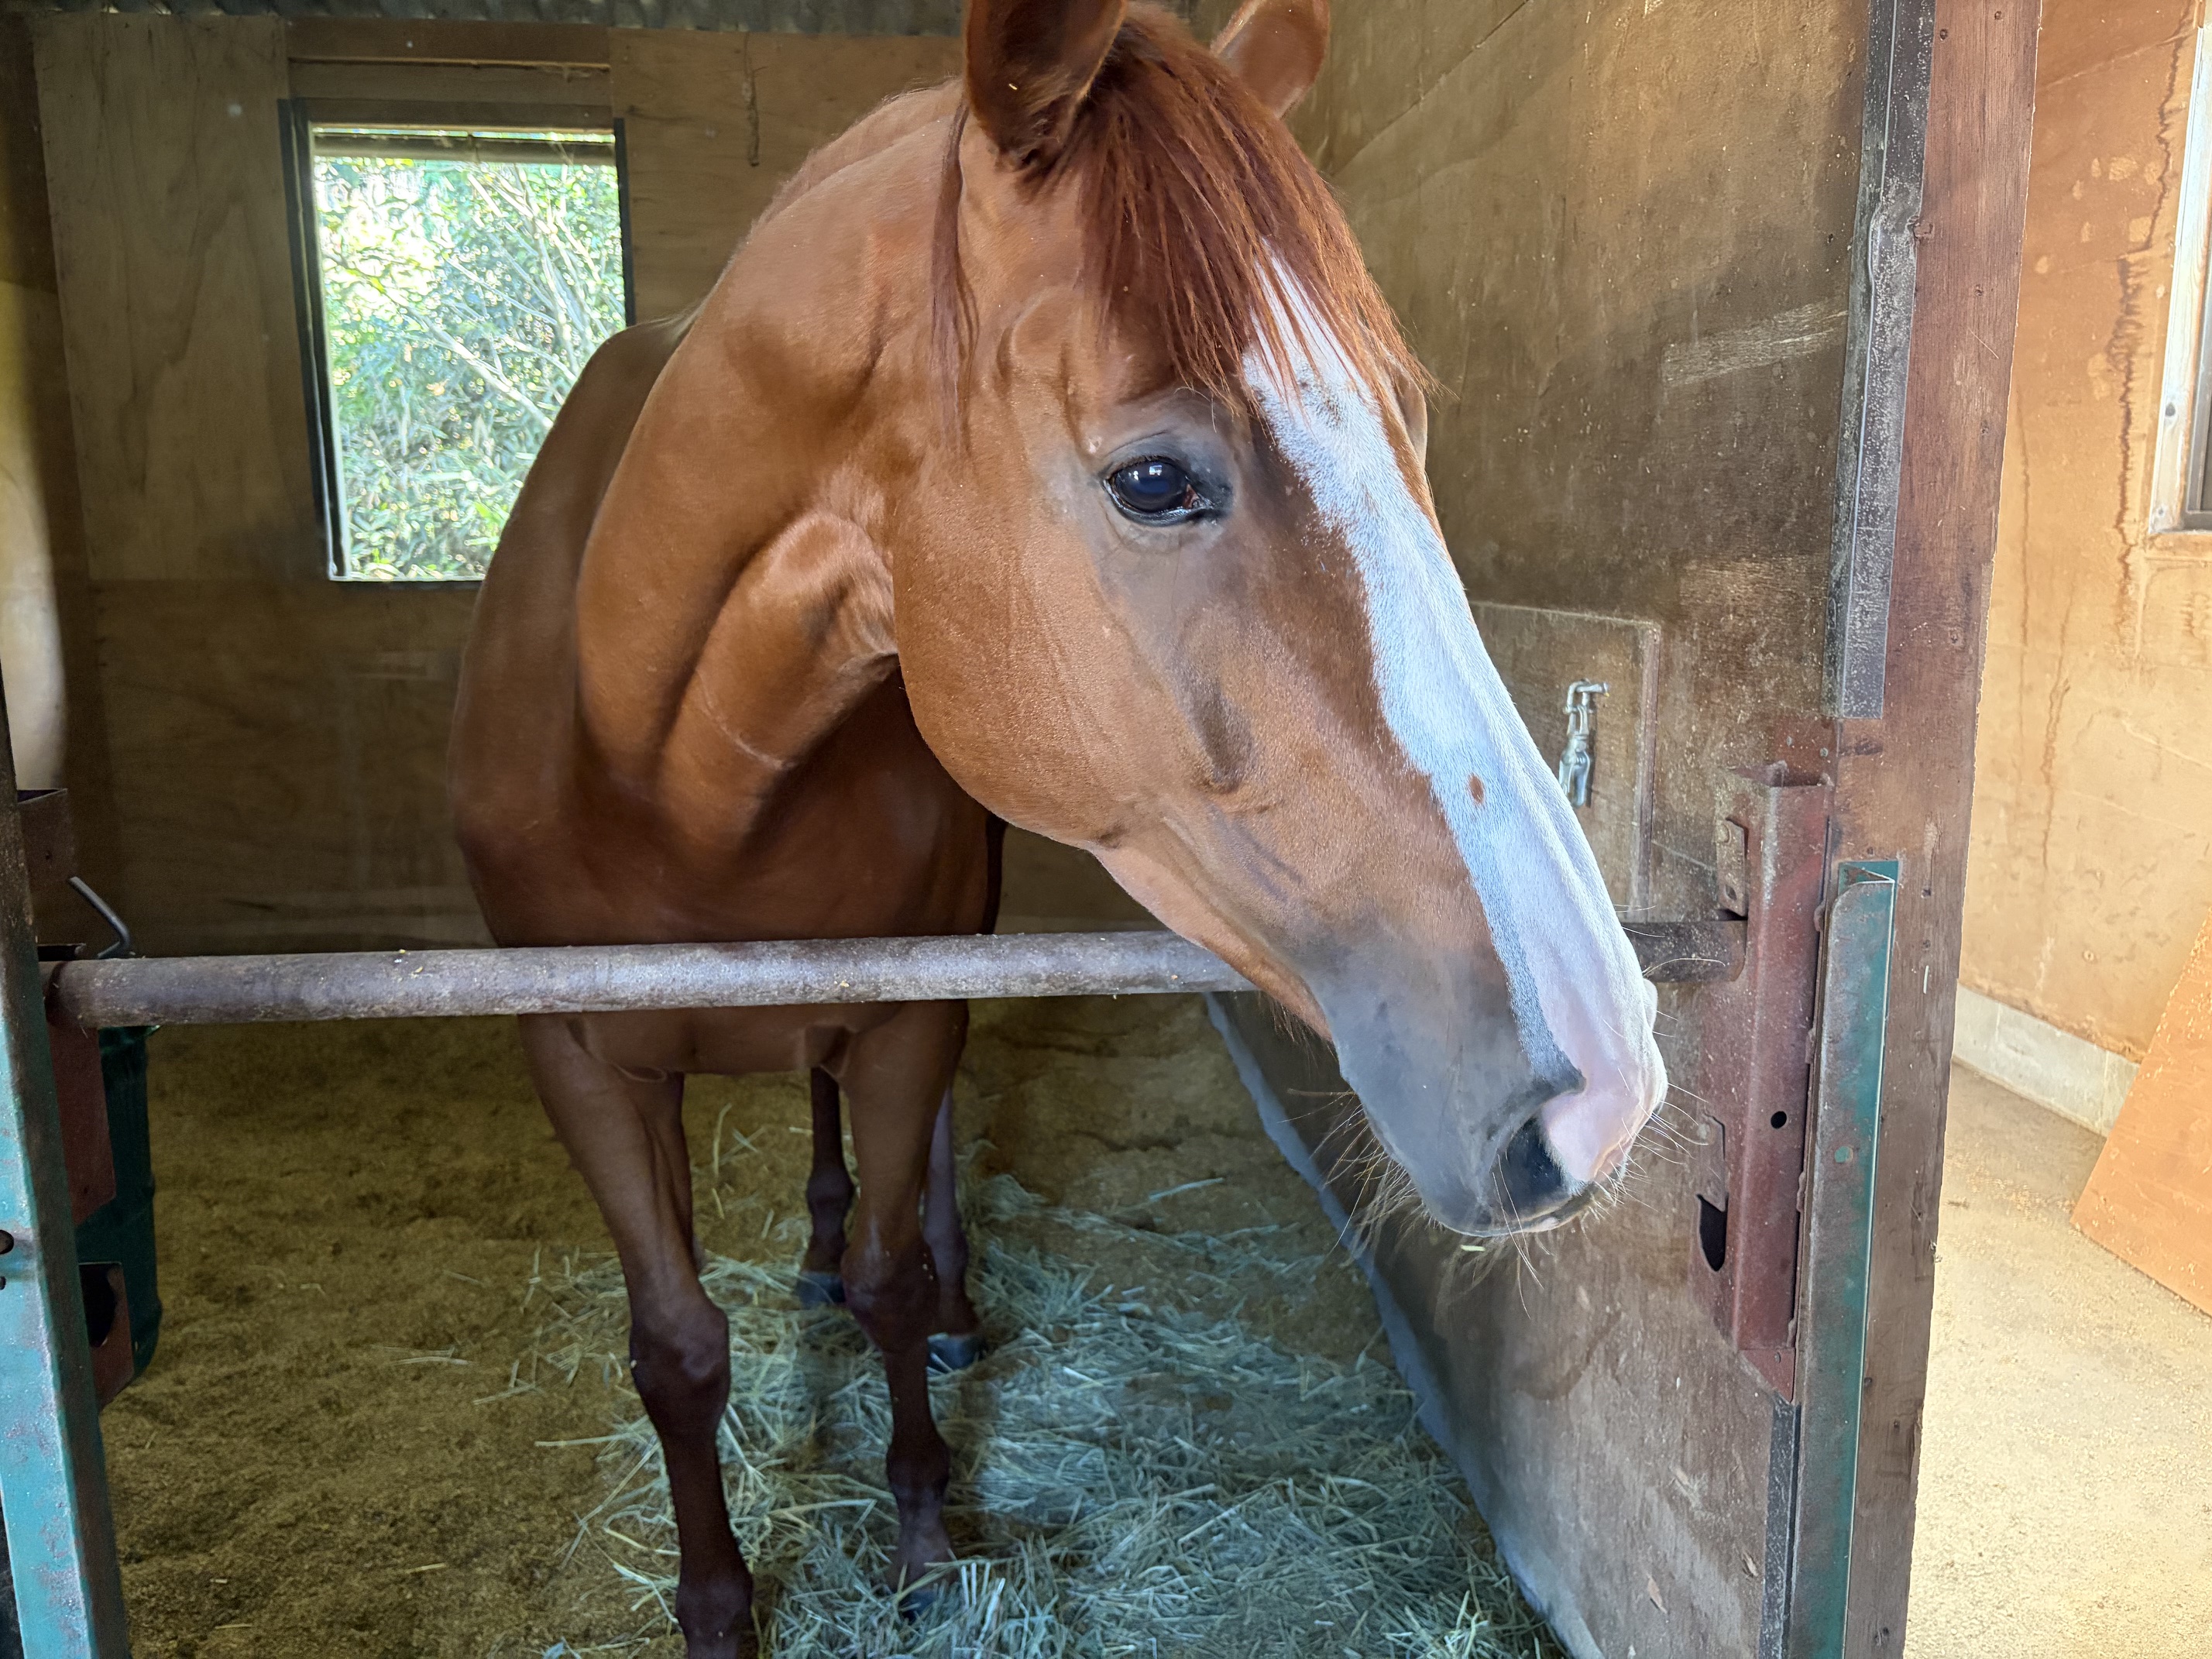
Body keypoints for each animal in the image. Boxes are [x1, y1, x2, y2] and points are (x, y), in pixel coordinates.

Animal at [447, 1, 1667, 1653]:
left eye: (1405, 423)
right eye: (1154, 479)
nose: (1600, 1087)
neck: (663, 762)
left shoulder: (905, 1015)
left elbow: (894, 1276)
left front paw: (919, 1529)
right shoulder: (578, 1055)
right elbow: (677, 1349)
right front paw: (715, 1603)